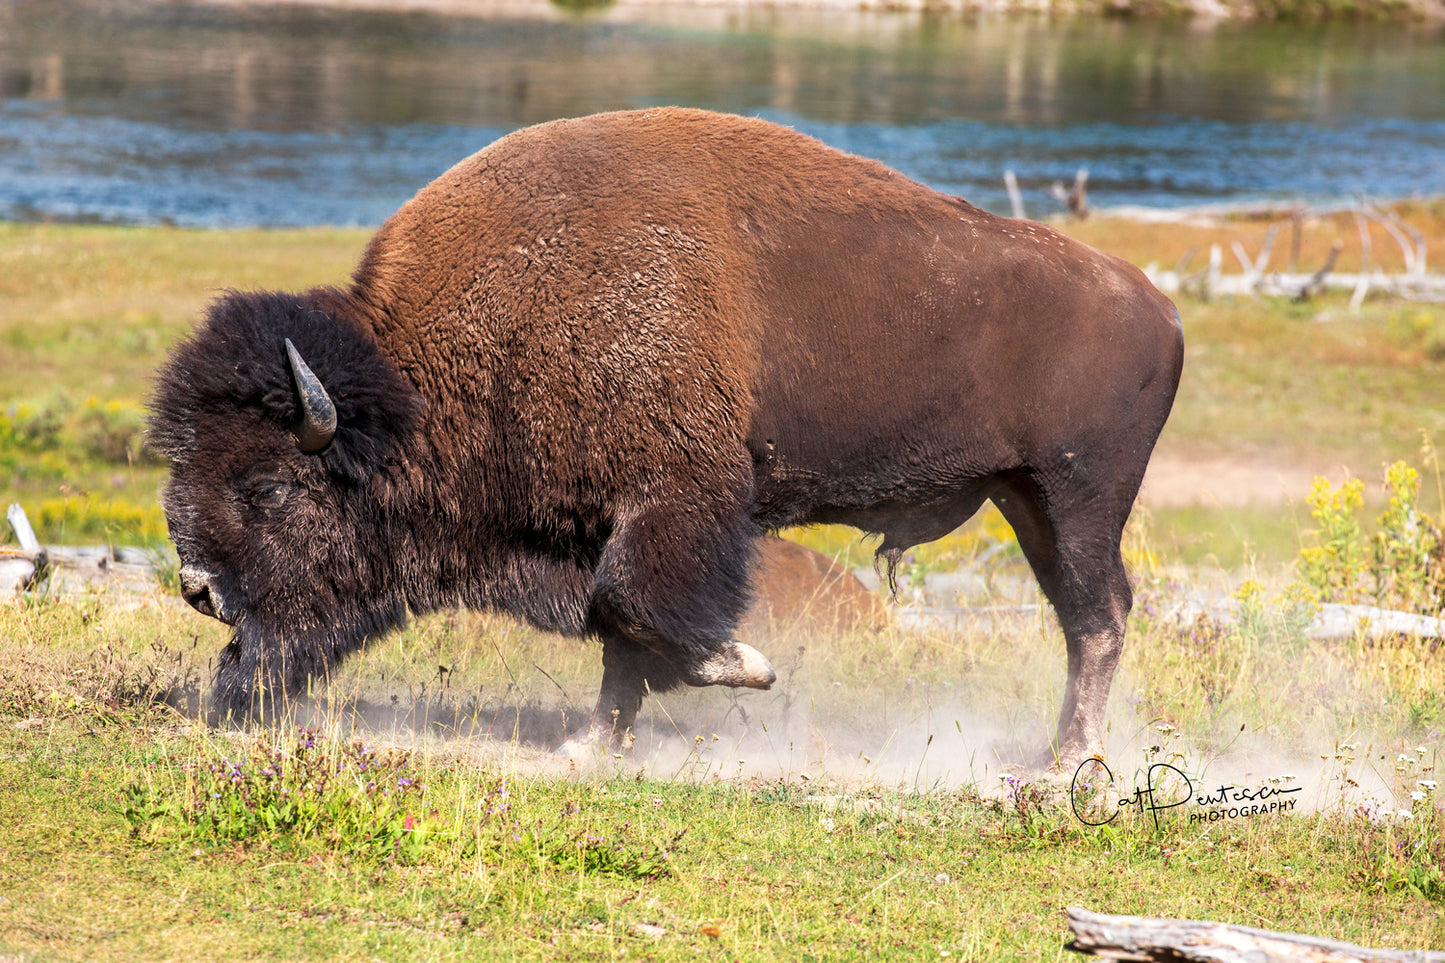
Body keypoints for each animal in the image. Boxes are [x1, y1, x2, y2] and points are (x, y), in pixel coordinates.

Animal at [149, 107, 1184, 763]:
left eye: (269, 487)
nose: (199, 589)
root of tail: (1157, 308)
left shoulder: (672, 500)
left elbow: (637, 608)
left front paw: (744, 668)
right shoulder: (599, 520)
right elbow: (615, 626)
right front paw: (594, 742)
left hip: (1077, 496)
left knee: (1098, 616)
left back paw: (1069, 765)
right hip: (1026, 499)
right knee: (1084, 615)